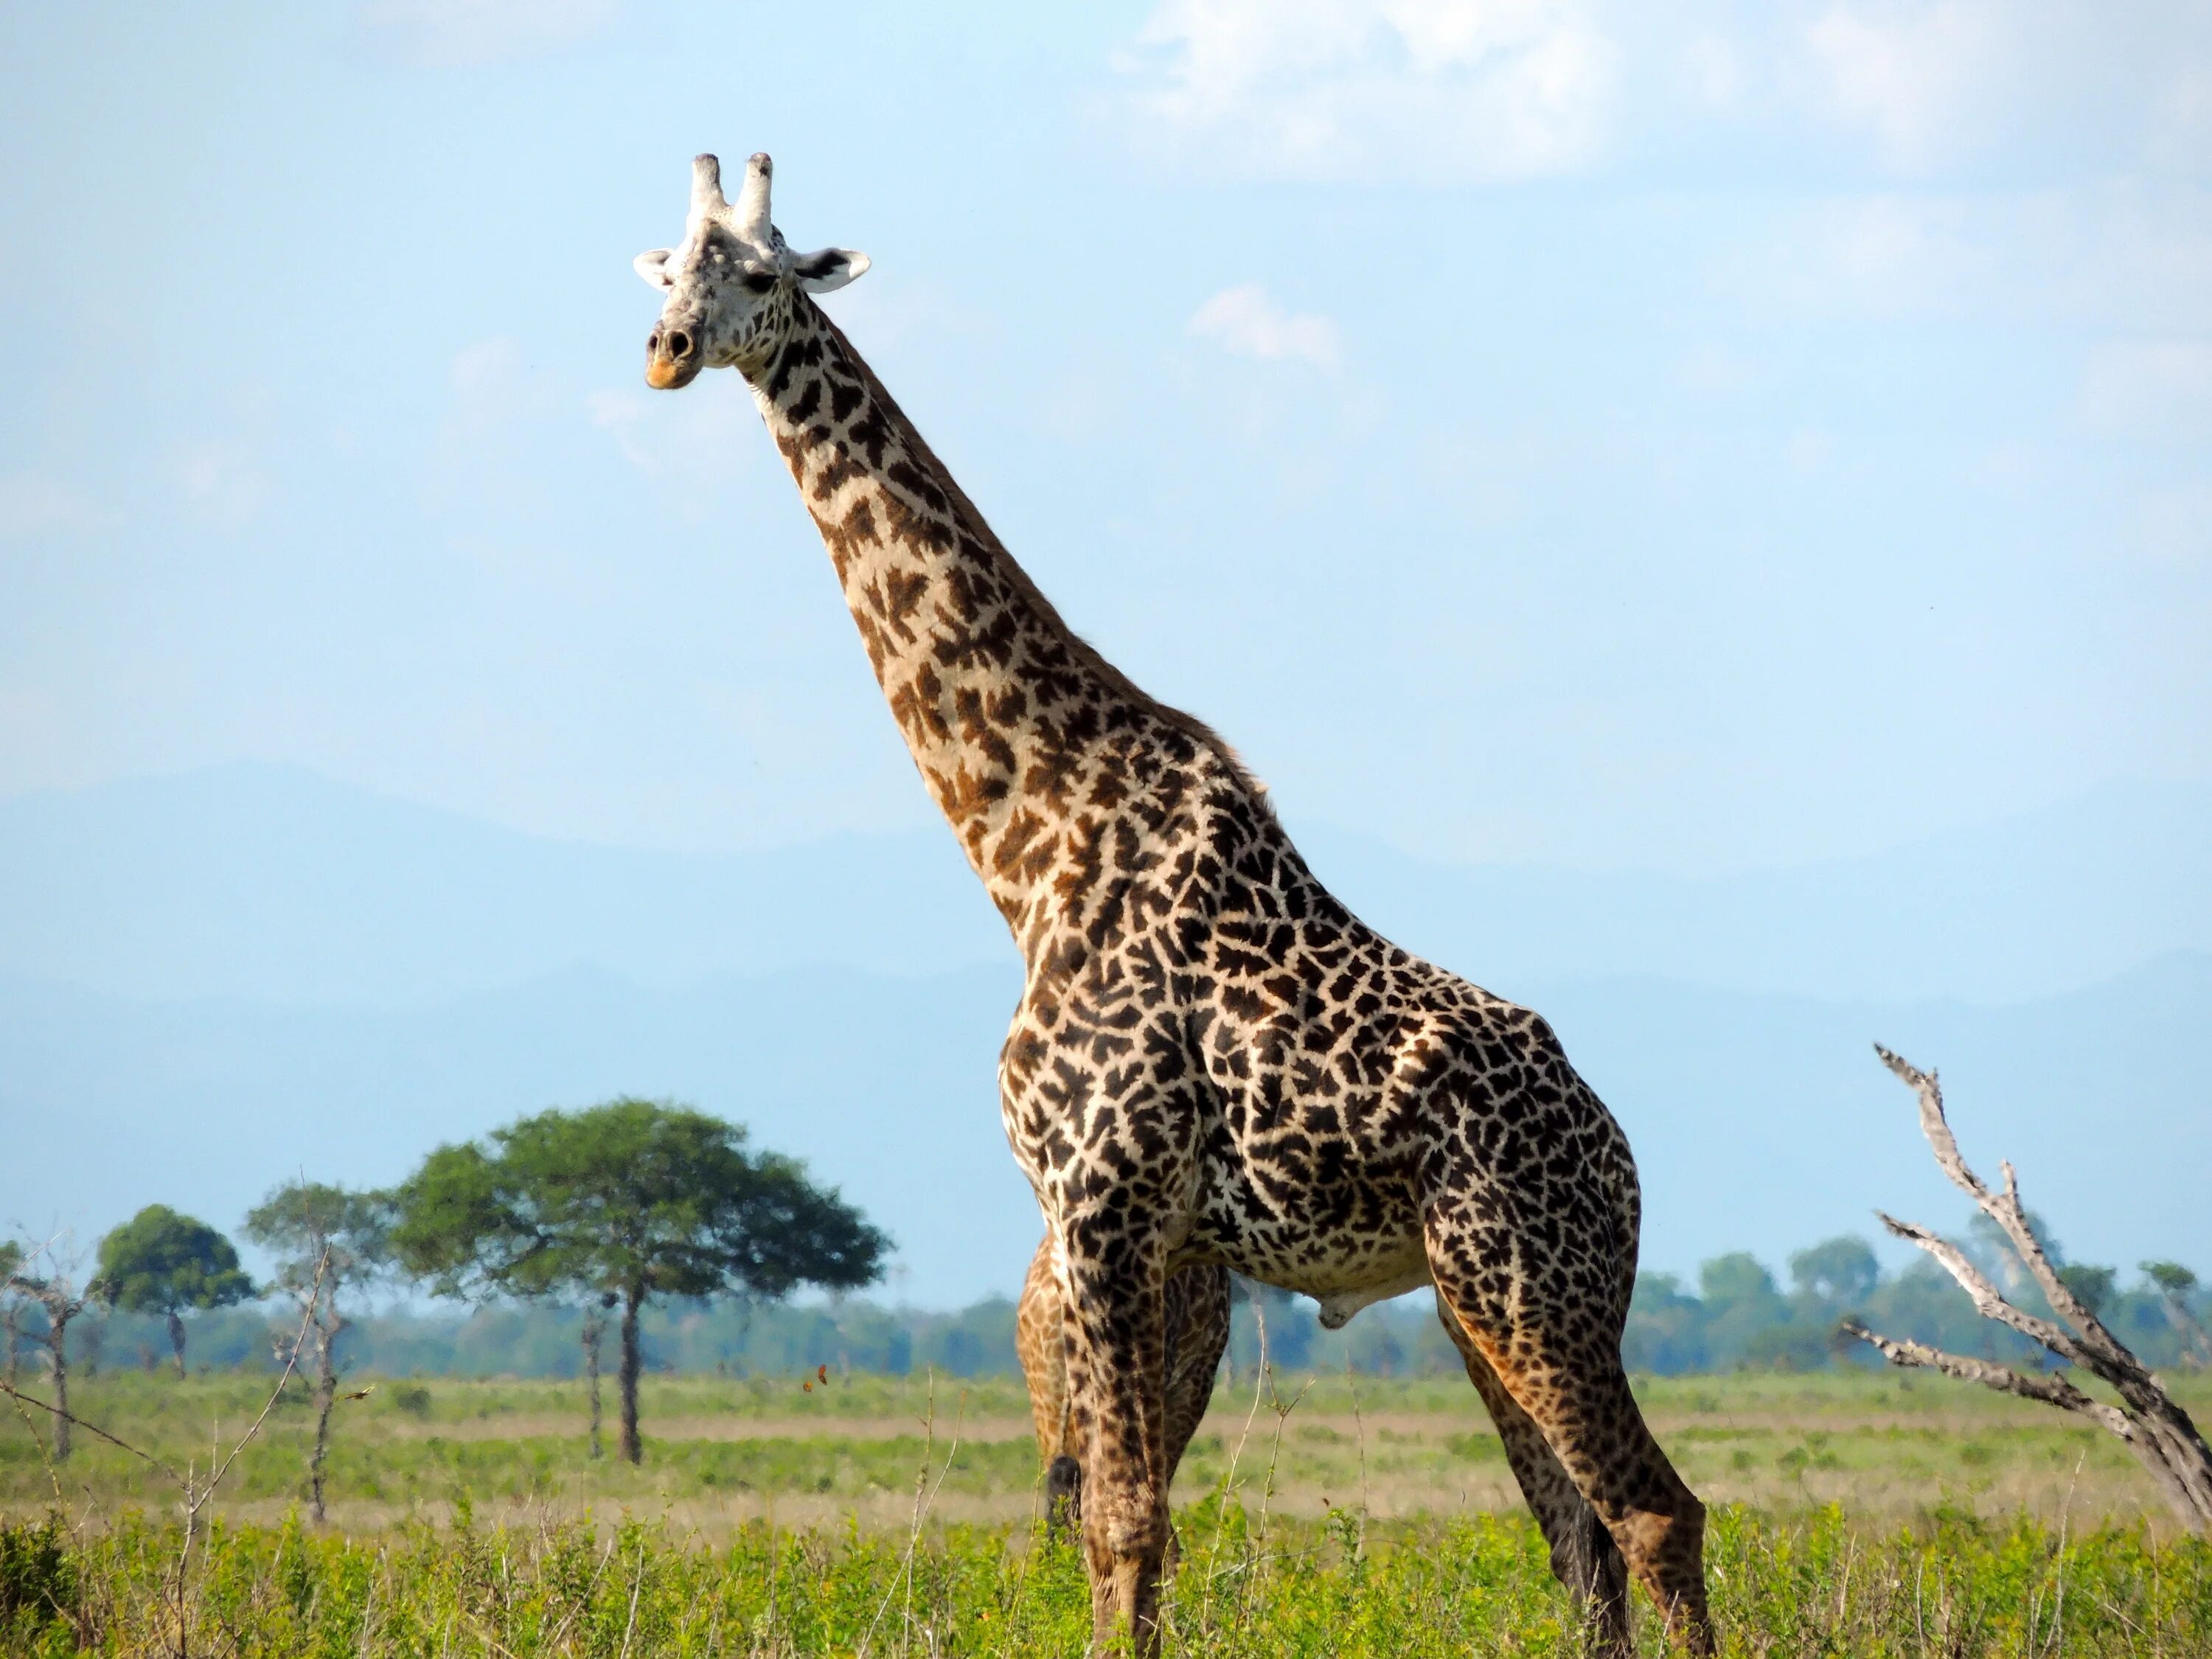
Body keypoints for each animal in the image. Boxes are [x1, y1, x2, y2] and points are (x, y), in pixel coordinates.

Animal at [633, 149, 1717, 1655]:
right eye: (667, 263)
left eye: (759, 271)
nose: (668, 351)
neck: (1026, 842)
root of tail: (1619, 1156)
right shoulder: (1135, 1234)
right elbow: (1116, 1531)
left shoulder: (1103, 1204)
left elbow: (1125, 1523)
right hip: (1474, 1298)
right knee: (1580, 1538)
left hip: (1530, 1281)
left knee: (1655, 1513)